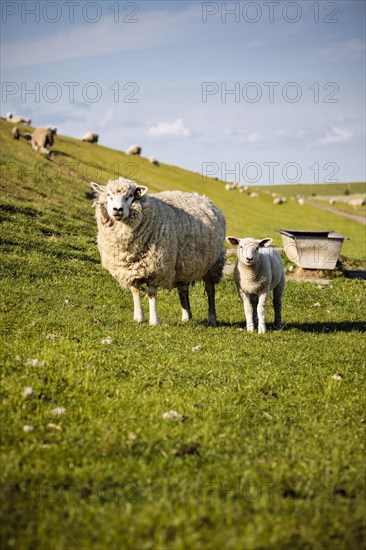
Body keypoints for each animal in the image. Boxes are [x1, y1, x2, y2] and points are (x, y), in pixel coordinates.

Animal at [90, 179, 226, 328]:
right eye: (109, 195)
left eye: (130, 196)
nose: (117, 209)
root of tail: (205, 199)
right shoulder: (130, 269)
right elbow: (135, 291)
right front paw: (138, 318)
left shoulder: (155, 267)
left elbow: (151, 294)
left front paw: (154, 321)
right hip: (184, 264)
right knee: (183, 289)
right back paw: (186, 316)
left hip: (213, 265)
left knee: (210, 290)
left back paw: (212, 318)